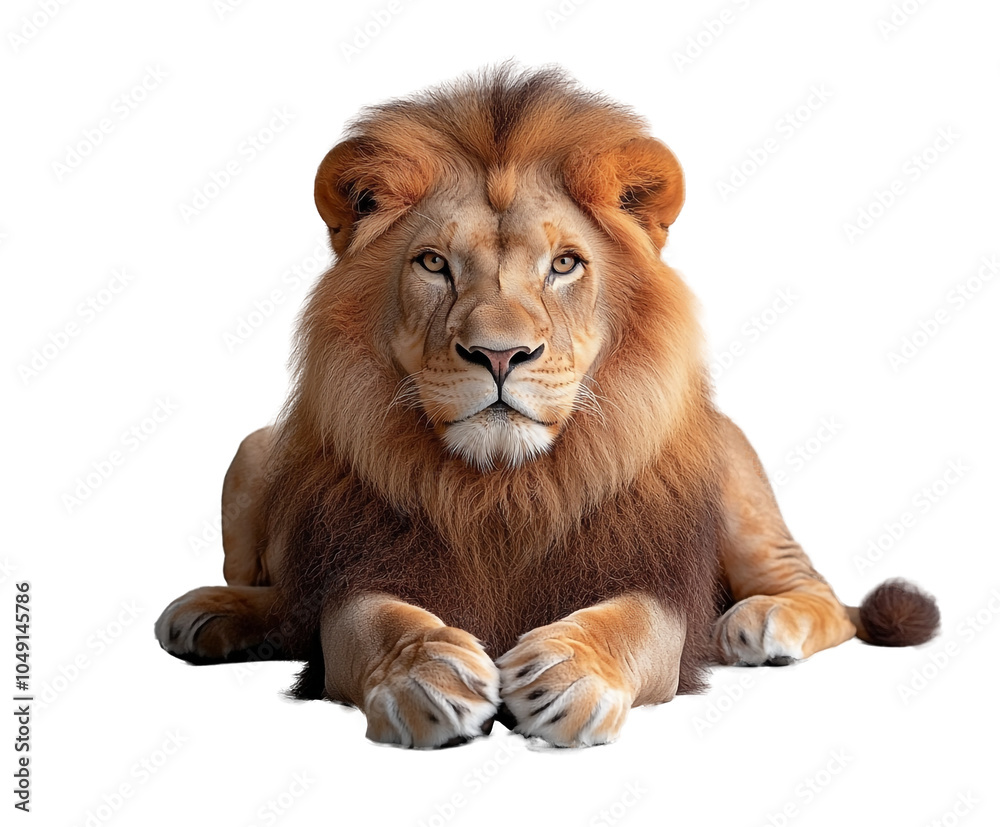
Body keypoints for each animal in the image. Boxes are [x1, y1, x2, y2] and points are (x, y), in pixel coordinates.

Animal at [155, 66, 939, 748]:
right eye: (434, 263)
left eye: (564, 264)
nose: (500, 355)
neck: (504, 488)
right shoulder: (363, 569)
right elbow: (375, 623)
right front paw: (427, 676)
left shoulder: (647, 576)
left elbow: (628, 623)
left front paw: (569, 675)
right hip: (255, 450)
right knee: (284, 596)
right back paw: (209, 614)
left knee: (819, 591)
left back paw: (763, 620)